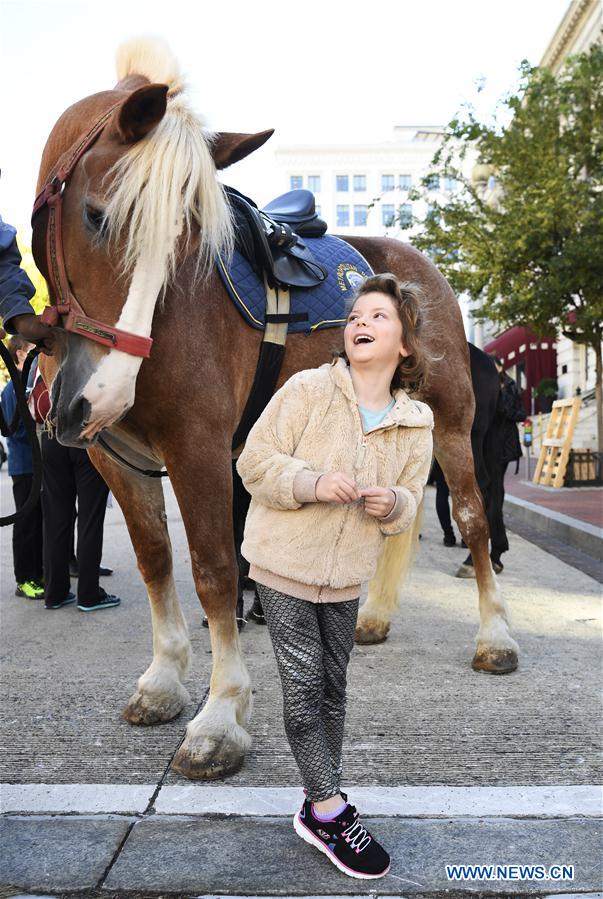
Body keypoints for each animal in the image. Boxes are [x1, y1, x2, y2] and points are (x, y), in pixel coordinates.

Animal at [33, 38, 520, 780]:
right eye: (95, 215)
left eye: (191, 241)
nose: (104, 390)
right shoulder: (115, 456)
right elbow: (154, 559)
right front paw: (164, 679)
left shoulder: (199, 446)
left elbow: (213, 570)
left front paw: (221, 715)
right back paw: (374, 617)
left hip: (454, 424)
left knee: (471, 519)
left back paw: (494, 636)